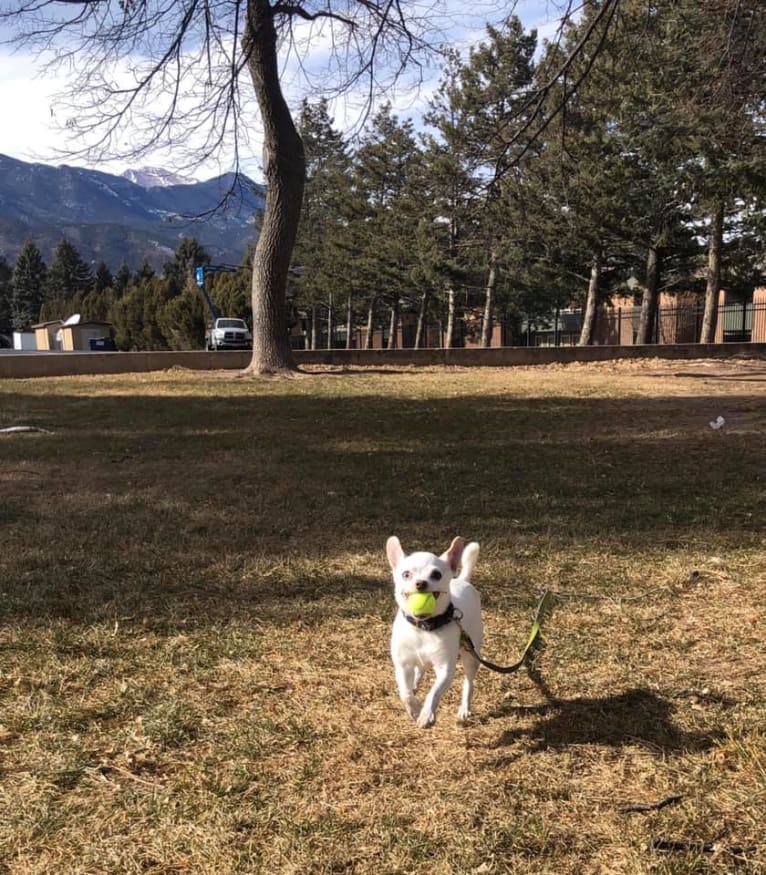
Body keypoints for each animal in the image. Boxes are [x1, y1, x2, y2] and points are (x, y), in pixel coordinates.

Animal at [388, 536, 484, 728]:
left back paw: (464, 707)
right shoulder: (402, 665)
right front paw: (414, 709)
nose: (421, 583)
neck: (423, 627)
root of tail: (463, 579)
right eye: (406, 574)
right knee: (420, 670)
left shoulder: (445, 670)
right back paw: (415, 684)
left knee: (469, 682)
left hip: (471, 654)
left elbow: (433, 693)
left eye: (436, 575)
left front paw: (426, 714)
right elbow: (405, 694)